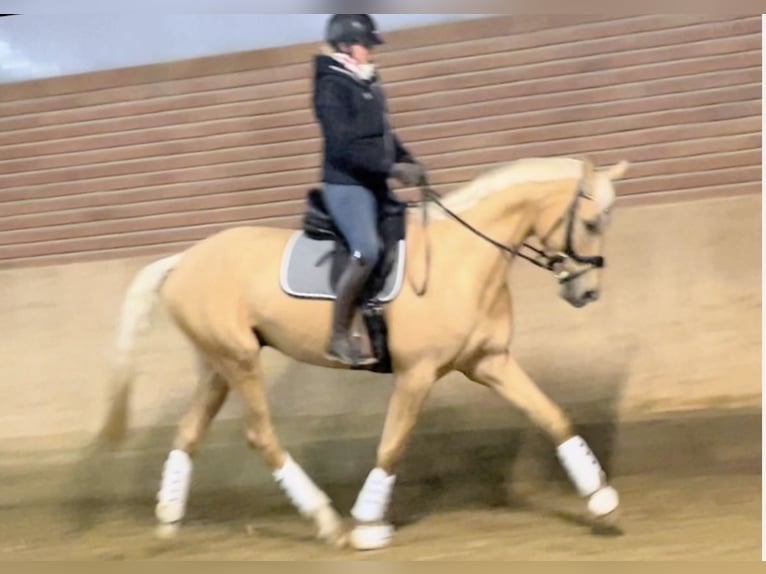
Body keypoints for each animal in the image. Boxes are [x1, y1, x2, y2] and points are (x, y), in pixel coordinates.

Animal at [99, 158, 632, 552]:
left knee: (188, 432)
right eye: (590, 222)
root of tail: (183, 259)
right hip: (239, 361)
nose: (586, 292)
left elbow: (552, 416)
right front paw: (368, 525)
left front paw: (602, 499)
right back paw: (327, 523)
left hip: (217, 365)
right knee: (259, 434)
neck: (461, 261)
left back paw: (169, 519)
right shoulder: (417, 374)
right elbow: (392, 446)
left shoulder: (490, 362)